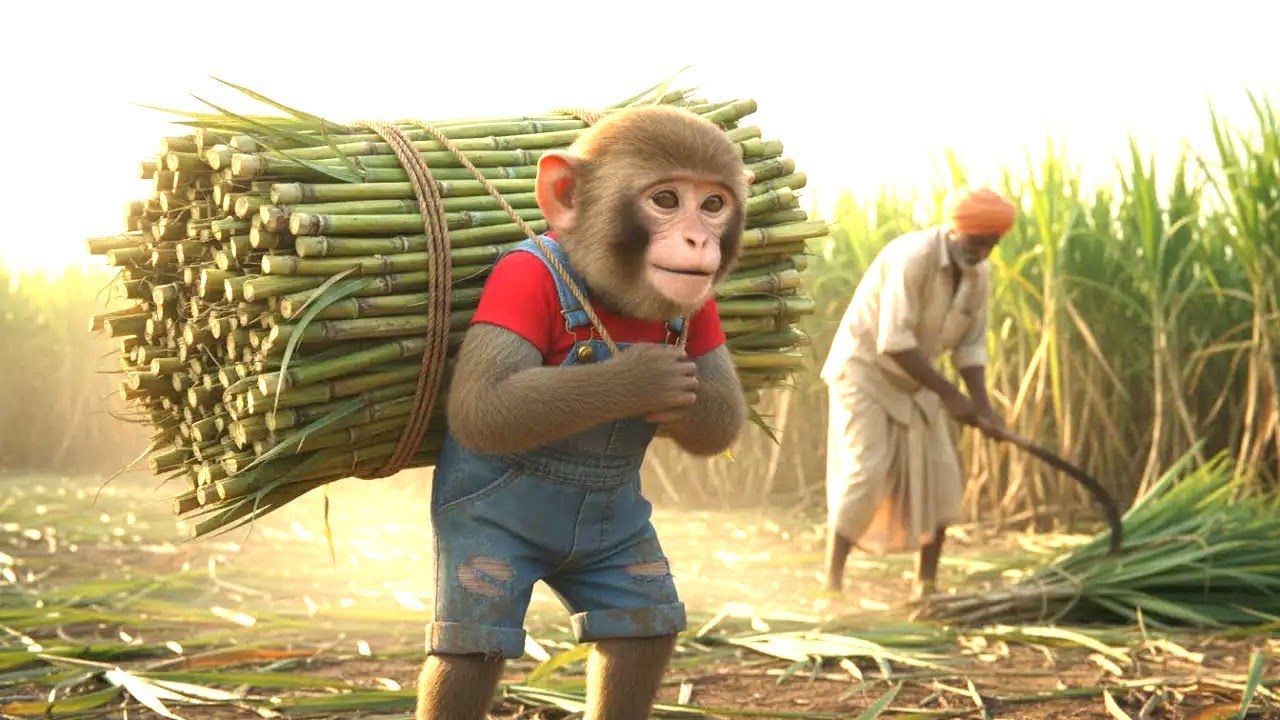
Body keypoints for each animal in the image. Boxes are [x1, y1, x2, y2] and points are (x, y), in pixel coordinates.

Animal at [415, 105, 753, 720]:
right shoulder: (517, 282)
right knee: (474, 638)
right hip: (481, 548)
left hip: (624, 552)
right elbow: (481, 406)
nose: (698, 237)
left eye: (713, 204)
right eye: (666, 199)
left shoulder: (705, 304)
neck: (611, 298)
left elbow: (722, 416)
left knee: (641, 623)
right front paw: (642, 376)